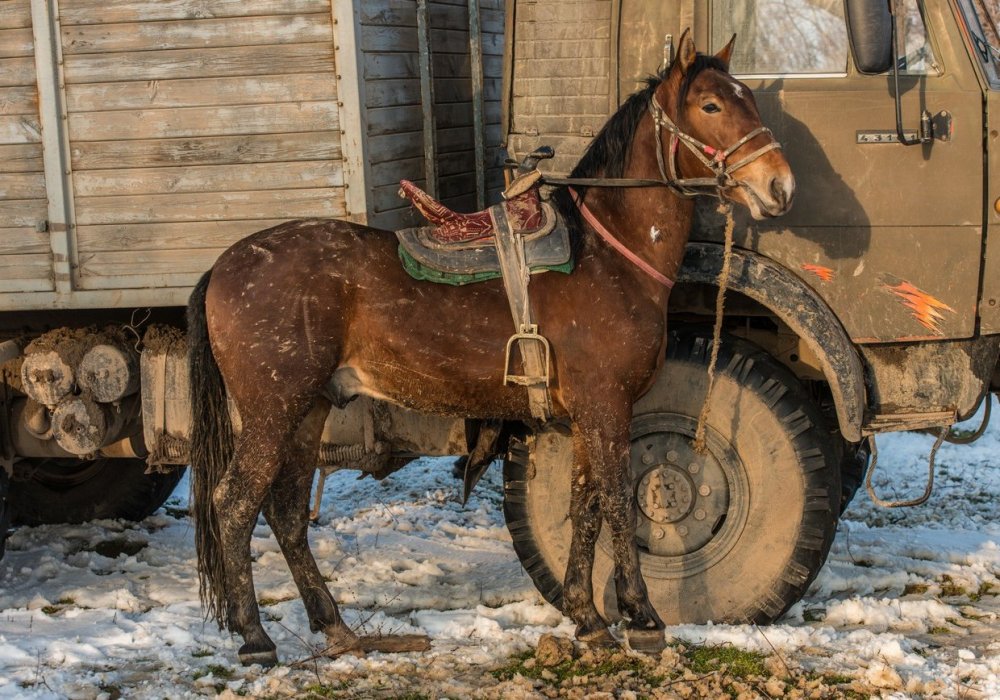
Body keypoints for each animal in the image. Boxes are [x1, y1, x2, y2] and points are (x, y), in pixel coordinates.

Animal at [189, 32, 796, 664]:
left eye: (748, 97)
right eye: (711, 105)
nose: (780, 186)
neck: (608, 257)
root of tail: (225, 266)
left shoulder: (587, 414)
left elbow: (584, 507)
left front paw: (587, 617)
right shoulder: (607, 406)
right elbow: (616, 506)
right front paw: (642, 616)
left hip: (309, 408)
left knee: (285, 513)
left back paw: (335, 628)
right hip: (272, 410)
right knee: (234, 504)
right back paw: (254, 636)